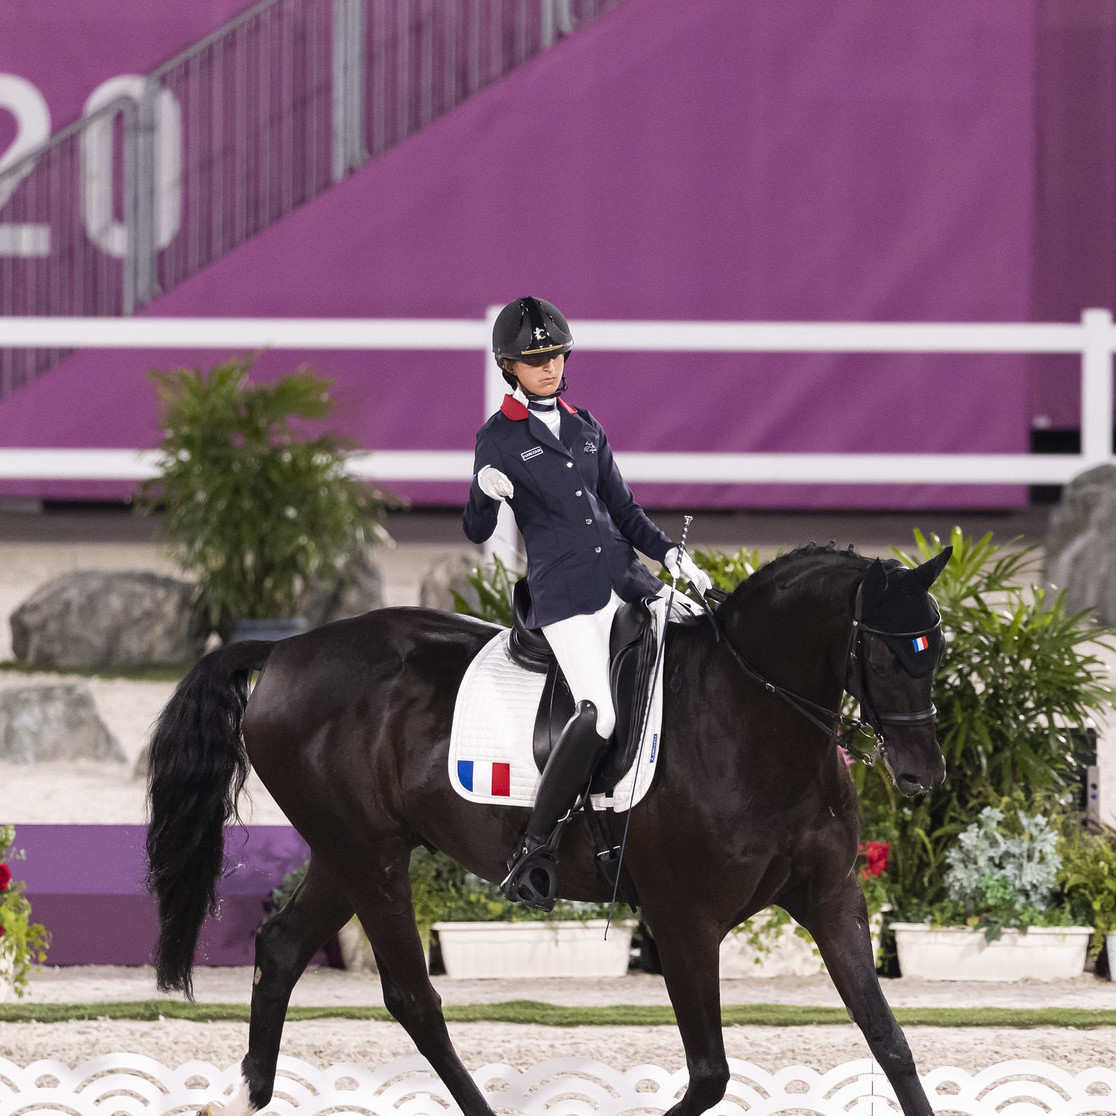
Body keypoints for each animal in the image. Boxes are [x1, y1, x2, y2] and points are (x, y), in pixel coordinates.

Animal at [146, 540, 950, 1116]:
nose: (923, 774)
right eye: (883, 651)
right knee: (412, 998)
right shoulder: (683, 921)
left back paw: (242, 1096)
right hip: (367, 857)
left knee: (283, 948)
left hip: (351, 853)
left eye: (935, 651)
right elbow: (710, 1075)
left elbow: (890, 1041)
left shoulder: (832, 900)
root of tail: (286, 650)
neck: (751, 716)